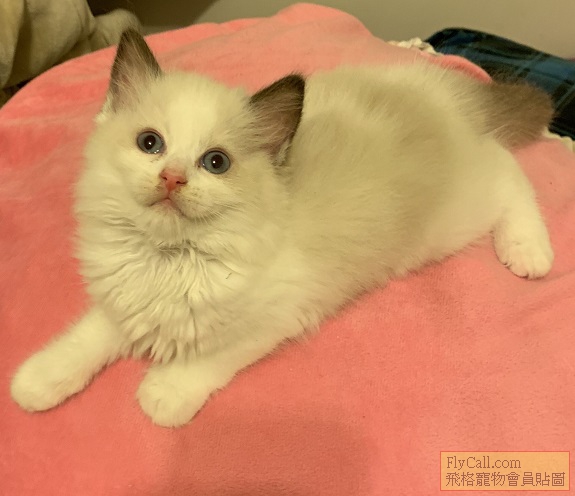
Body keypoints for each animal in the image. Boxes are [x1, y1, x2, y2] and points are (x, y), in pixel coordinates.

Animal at [10, 30, 554, 427]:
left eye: (216, 162)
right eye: (150, 143)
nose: (172, 178)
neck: (168, 256)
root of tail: (440, 96)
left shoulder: (275, 315)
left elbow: (212, 356)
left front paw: (164, 393)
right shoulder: (126, 298)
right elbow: (90, 335)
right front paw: (38, 380)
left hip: (448, 222)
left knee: (509, 170)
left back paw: (529, 252)